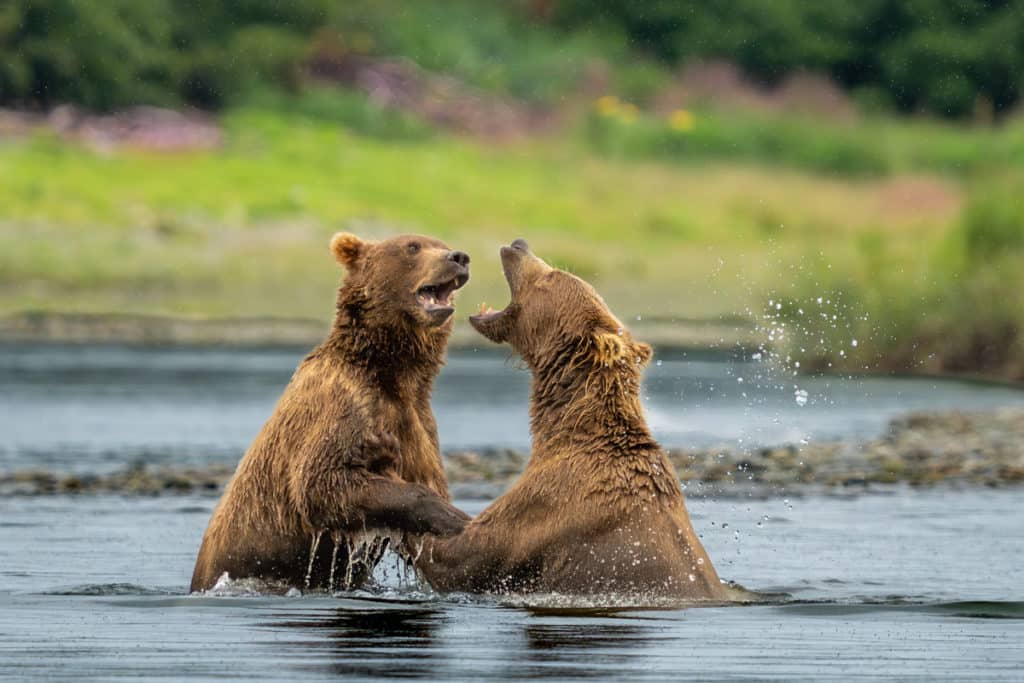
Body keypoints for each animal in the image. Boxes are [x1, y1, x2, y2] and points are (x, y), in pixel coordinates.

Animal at [190, 232, 472, 593]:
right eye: (412, 246)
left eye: (442, 243)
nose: (459, 257)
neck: (391, 371)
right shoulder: (343, 403)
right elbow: (321, 482)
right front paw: (448, 513)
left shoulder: (419, 424)